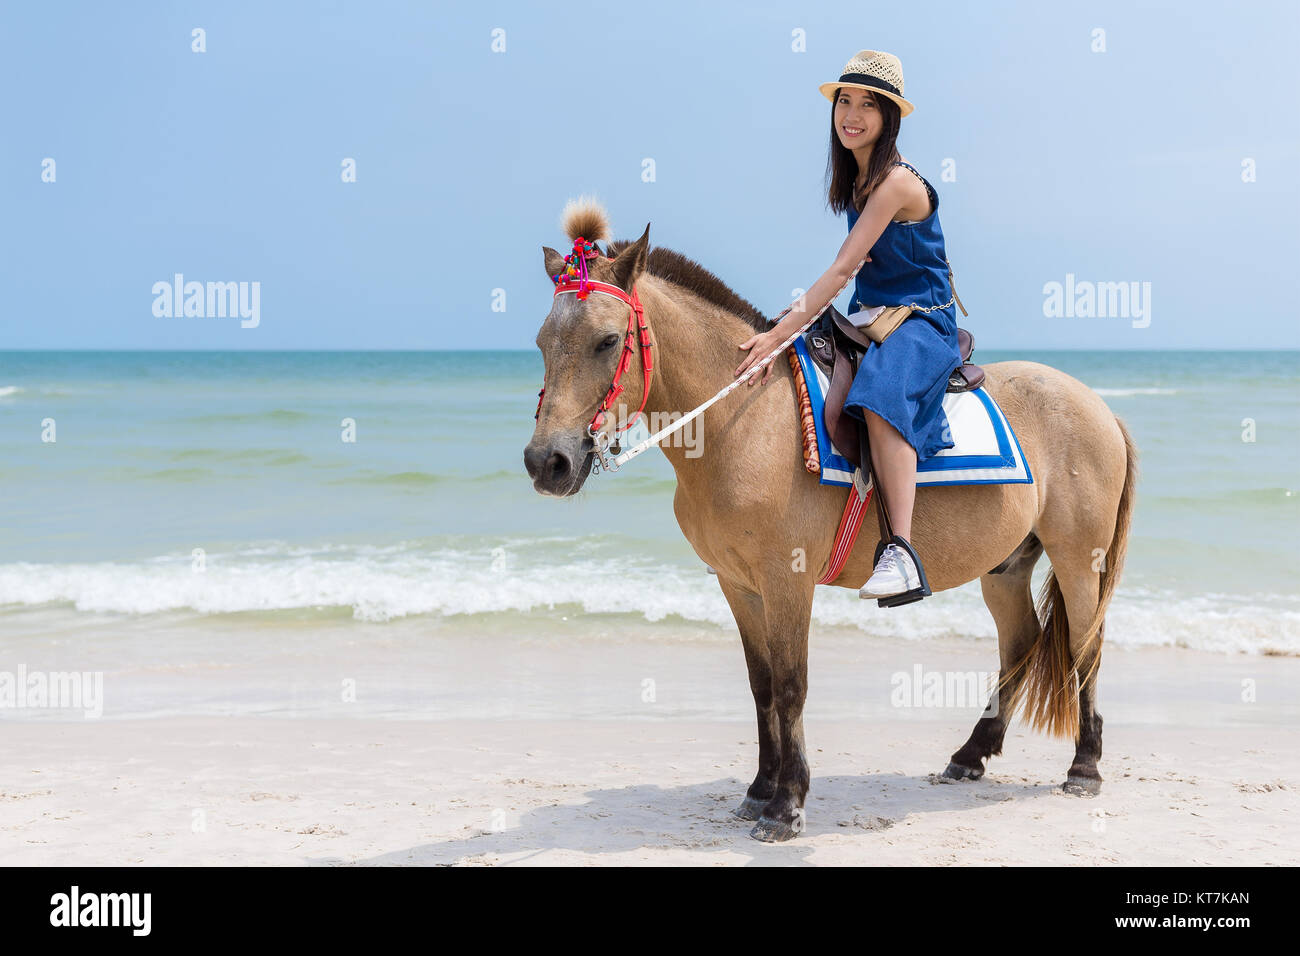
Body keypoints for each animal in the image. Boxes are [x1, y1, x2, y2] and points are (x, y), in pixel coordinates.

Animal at [524, 199, 1138, 843]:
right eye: (542, 342)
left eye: (607, 340)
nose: (546, 462)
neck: (743, 419)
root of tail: (1099, 406)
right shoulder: (738, 584)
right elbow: (763, 686)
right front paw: (760, 789)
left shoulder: (787, 580)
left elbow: (792, 685)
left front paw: (787, 804)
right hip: (1005, 567)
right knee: (1019, 643)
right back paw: (970, 755)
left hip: (1078, 559)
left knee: (1086, 647)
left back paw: (1085, 767)